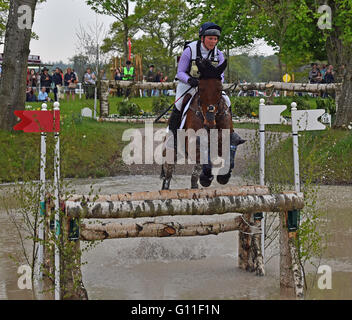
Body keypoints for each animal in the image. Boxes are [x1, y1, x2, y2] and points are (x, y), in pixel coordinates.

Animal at [160, 58, 239, 190]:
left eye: (219, 89)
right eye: (201, 88)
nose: (209, 122)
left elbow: (229, 157)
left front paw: (223, 177)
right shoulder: (193, 143)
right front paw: (206, 178)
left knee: (195, 172)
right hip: (171, 151)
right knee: (168, 172)